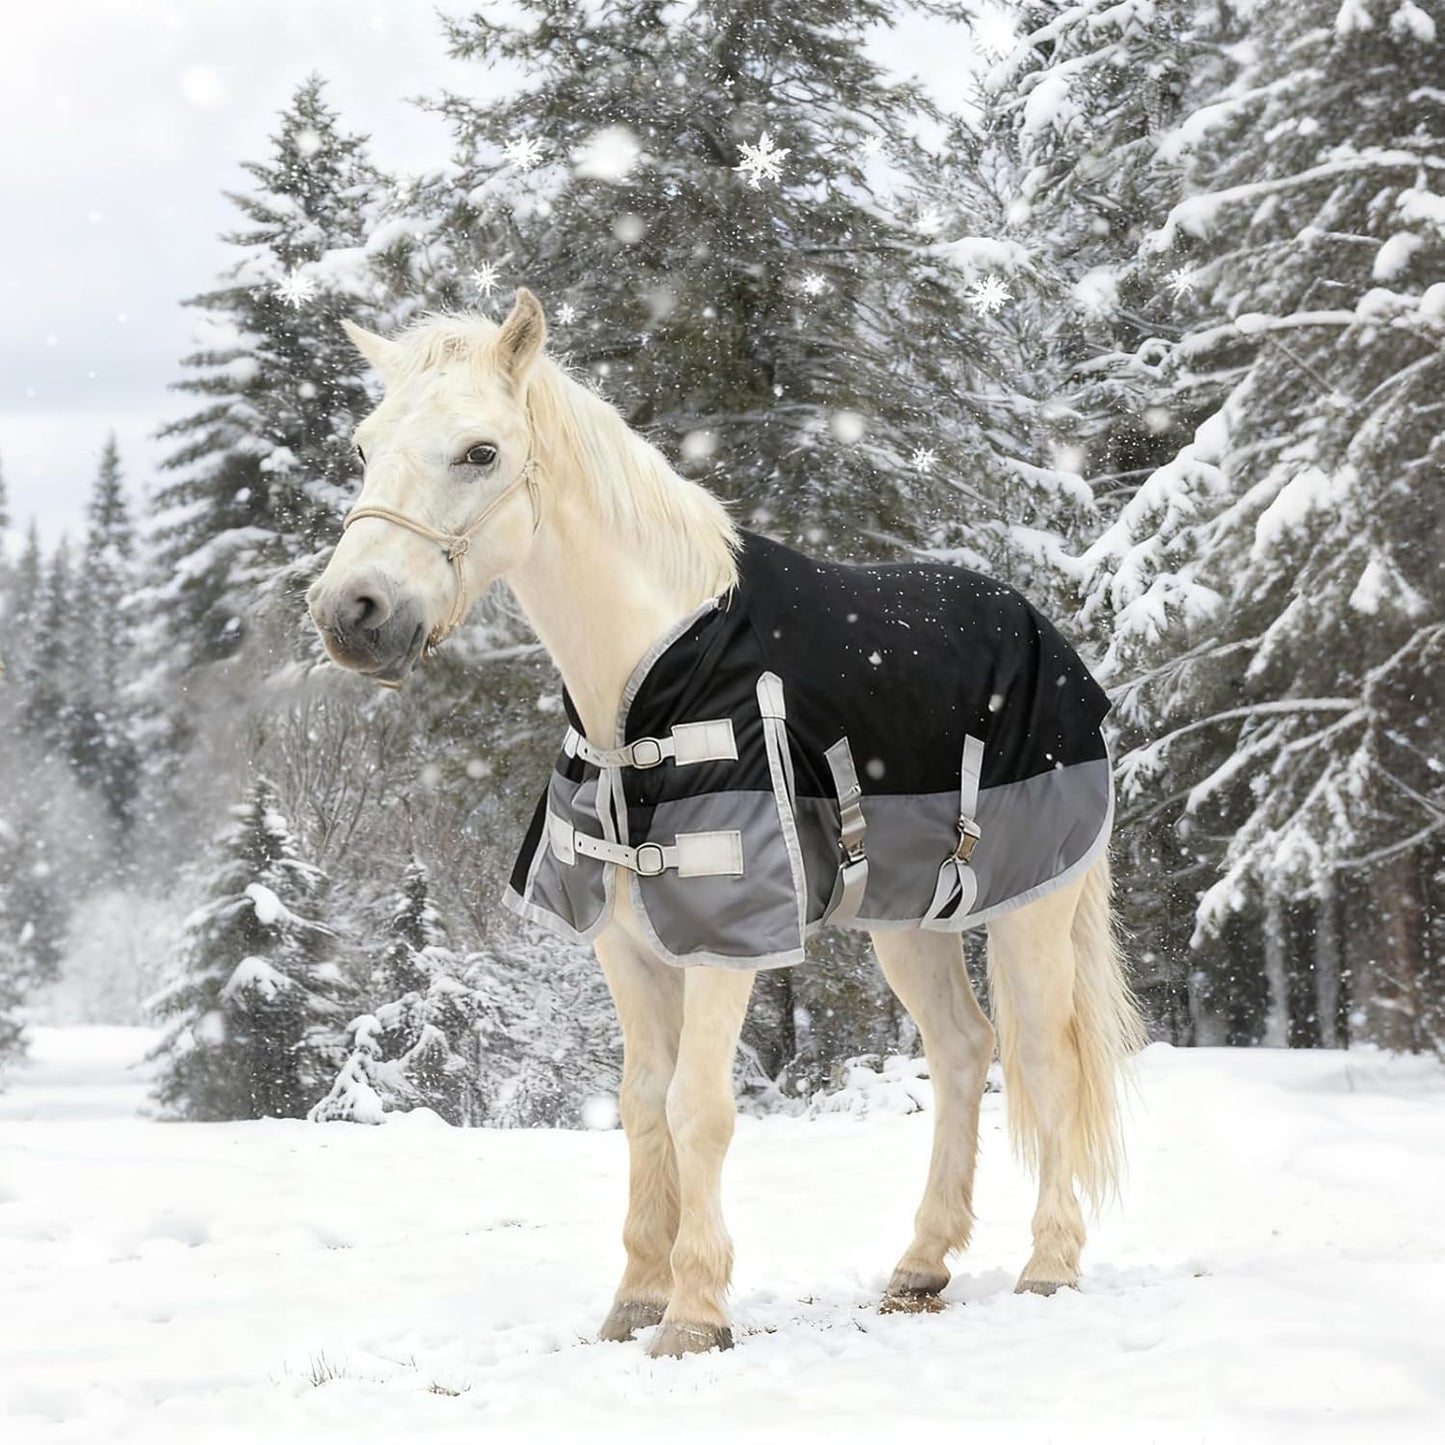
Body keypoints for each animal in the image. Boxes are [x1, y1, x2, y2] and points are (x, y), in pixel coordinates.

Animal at [307, 288, 1145, 1358]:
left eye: (480, 451)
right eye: (365, 445)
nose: (351, 612)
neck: (646, 686)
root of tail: (1050, 641)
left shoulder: (726, 937)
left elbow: (697, 1107)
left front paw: (695, 1311)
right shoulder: (626, 943)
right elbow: (639, 1107)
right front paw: (634, 1298)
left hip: (1033, 907)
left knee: (1045, 1057)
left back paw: (1048, 1266)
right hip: (907, 923)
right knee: (964, 1049)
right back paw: (919, 1265)